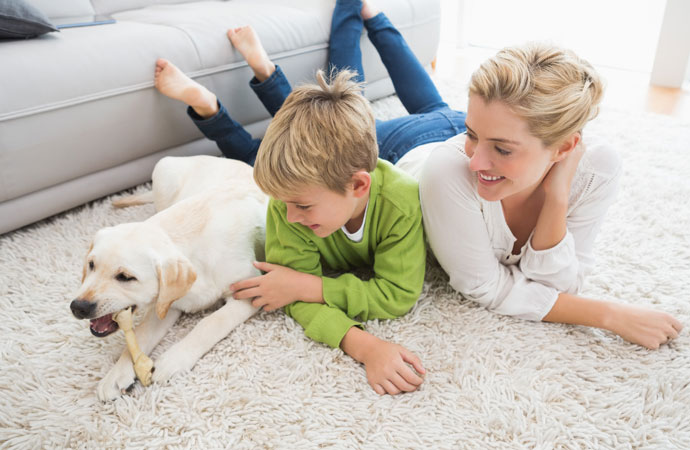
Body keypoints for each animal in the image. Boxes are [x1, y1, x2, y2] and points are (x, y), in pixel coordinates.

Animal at [71, 156, 266, 400]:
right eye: (91, 265)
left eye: (125, 277)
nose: (78, 307)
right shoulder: (166, 303)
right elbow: (142, 335)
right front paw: (116, 374)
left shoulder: (249, 291)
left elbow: (211, 323)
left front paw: (174, 359)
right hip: (163, 169)